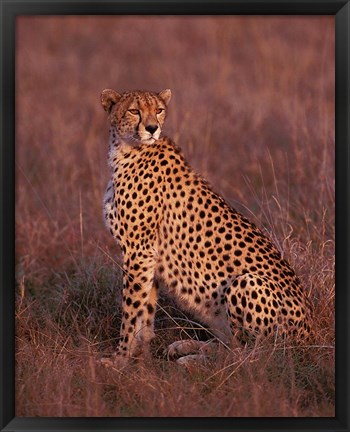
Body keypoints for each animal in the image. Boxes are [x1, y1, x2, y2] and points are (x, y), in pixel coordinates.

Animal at [100, 89, 314, 366]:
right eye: (134, 111)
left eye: (158, 110)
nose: (152, 128)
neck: (125, 150)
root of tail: (309, 337)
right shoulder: (148, 257)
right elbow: (145, 311)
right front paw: (141, 354)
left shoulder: (139, 251)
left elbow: (130, 310)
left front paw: (120, 359)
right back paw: (188, 347)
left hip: (246, 283)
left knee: (251, 357)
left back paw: (193, 359)